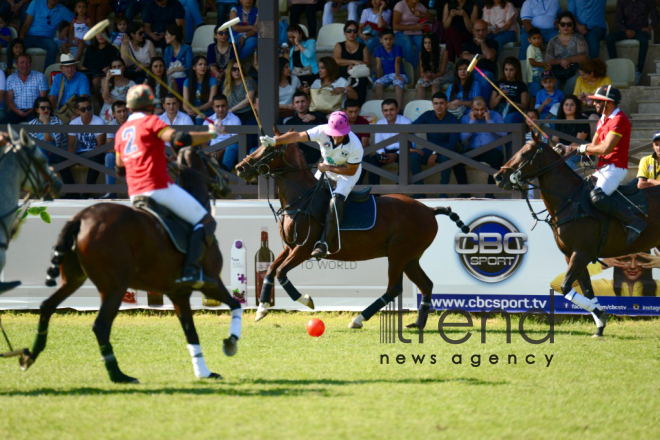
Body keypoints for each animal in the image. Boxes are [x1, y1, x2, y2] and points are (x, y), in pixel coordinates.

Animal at [20, 147, 242, 382]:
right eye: (212, 161)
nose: (229, 182)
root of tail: (80, 218)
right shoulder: (211, 282)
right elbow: (235, 305)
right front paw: (230, 342)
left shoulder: (179, 294)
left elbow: (191, 332)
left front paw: (204, 372)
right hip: (114, 287)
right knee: (101, 326)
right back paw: (118, 375)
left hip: (74, 279)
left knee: (47, 306)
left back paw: (30, 356)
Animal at [233, 139, 470, 328]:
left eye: (268, 148)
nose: (240, 168)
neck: (301, 198)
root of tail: (430, 210)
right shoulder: (289, 247)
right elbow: (271, 269)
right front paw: (262, 309)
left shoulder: (304, 249)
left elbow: (281, 272)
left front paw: (306, 300)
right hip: (411, 257)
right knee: (426, 284)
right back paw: (418, 324)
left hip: (398, 253)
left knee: (394, 288)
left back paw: (358, 319)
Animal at [496, 141, 660, 336]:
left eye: (525, 153)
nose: (498, 177)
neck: (569, 201)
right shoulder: (572, 255)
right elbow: (587, 290)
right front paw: (599, 326)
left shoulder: (581, 253)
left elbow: (566, 286)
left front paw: (602, 315)